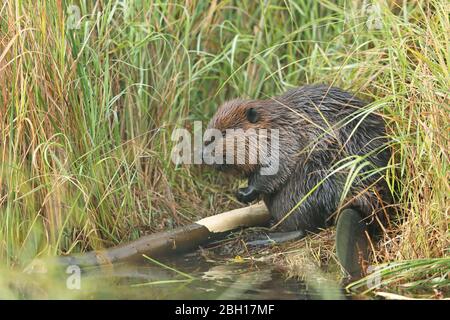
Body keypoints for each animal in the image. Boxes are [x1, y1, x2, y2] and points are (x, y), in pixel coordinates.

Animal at [203, 84, 390, 236]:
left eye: (224, 133)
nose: (203, 154)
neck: (275, 122)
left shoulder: (285, 138)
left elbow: (277, 167)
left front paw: (243, 193)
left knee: (303, 226)